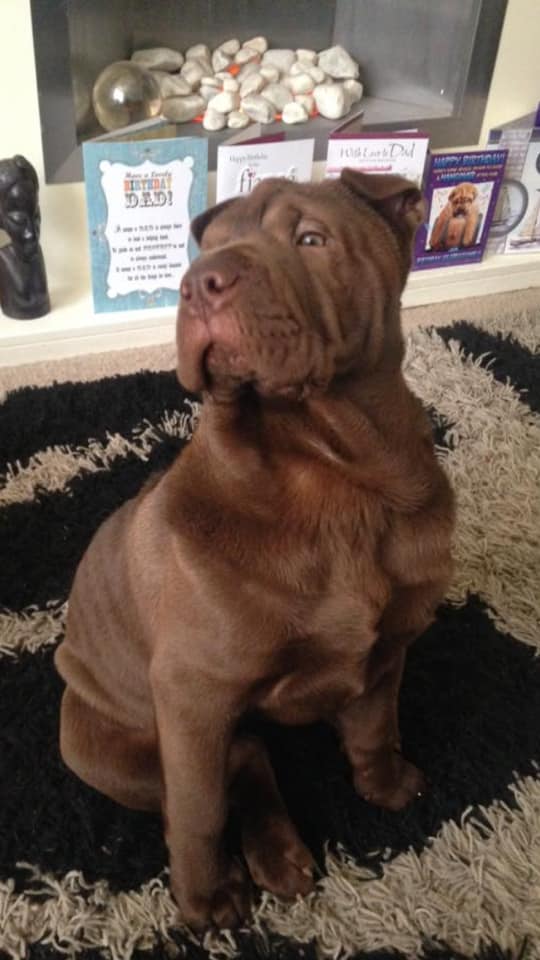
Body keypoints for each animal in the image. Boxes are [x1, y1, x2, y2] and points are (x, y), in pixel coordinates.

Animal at [54, 171, 454, 928]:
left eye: (311, 239)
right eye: (204, 247)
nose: (198, 282)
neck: (331, 475)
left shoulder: (391, 644)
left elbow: (375, 724)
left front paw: (386, 783)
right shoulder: (193, 696)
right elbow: (198, 809)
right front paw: (205, 897)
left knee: (248, 756)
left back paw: (281, 855)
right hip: (108, 748)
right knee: (231, 766)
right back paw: (272, 856)